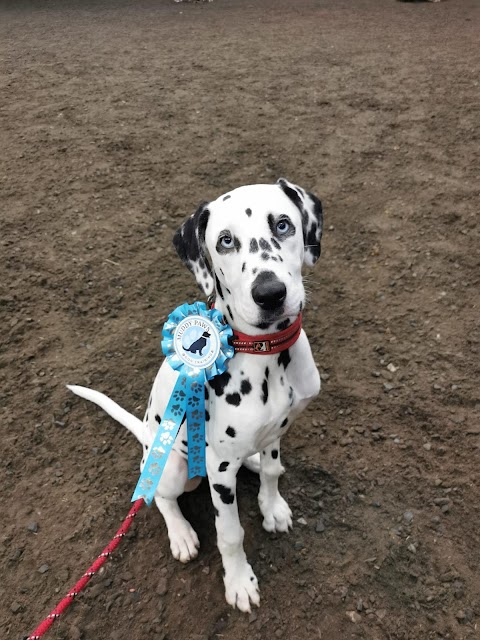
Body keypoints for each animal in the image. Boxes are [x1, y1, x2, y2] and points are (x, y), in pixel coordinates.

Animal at [67, 178, 322, 612]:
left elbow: (272, 470)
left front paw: (272, 507)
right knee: (157, 497)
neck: (265, 353)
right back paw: (181, 533)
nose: (270, 293)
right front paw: (239, 582)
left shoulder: (277, 429)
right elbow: (230, 534)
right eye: (225, 241)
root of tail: (147, 439)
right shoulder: (219, 469)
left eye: (283, 224)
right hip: (171, 468)